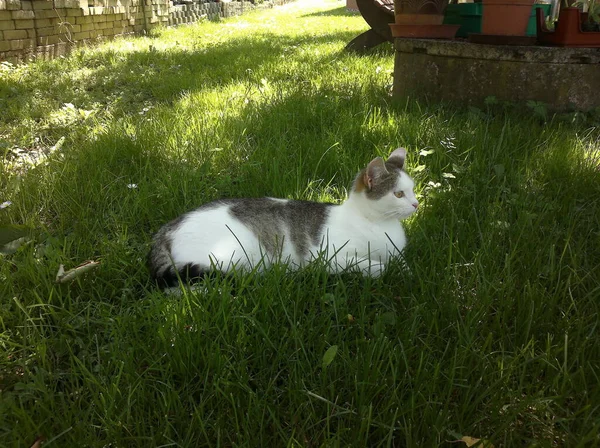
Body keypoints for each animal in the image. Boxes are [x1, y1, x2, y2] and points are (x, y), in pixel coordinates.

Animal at [148, 147, 420, 288]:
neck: (375, 224)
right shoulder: (324, 257)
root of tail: (168, 227)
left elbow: (403, 264)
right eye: (398, 193)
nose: (417, 204)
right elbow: (370, 265)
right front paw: (385, 270)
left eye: (413, 189)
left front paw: (406, 272)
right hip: (233, 255)